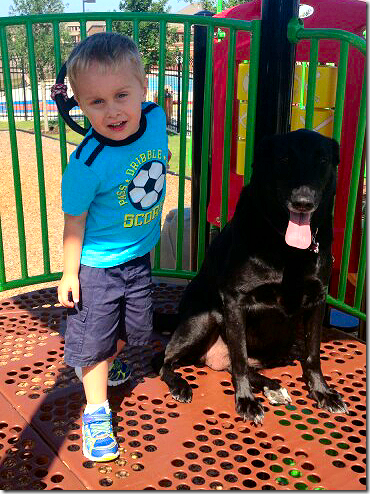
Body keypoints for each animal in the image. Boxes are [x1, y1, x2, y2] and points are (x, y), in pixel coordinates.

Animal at [160, 129, 350, 422]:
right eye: (284, 158)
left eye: (322, 160)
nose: (303, 202)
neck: (288, 249)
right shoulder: (235, 301)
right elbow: (239, 357)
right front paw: (246, 401)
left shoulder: (318, 299)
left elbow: (313, 355)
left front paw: (323, 392)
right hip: (204, 318)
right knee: (168, 361)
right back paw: (181, 385)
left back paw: (273, 385)